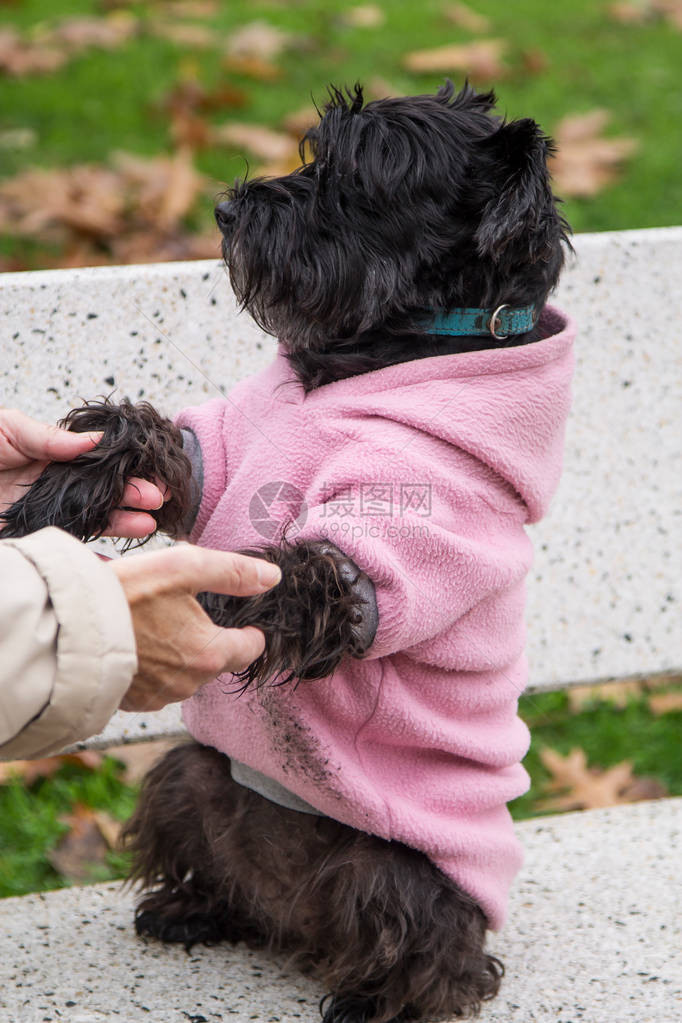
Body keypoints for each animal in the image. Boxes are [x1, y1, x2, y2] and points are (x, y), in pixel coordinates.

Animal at [2, 81, 572, 1023]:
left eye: (358, 176)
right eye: (315, 150)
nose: (227, 208)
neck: (381, 355)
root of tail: (295, 923)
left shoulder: (377, 558)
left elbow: (279, 572)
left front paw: (160, 607)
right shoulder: (216, 455)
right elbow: (149, 437)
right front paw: (51, 498)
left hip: (399, 873)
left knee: (444, 956)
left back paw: (380, 995)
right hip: (187, 776)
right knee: (220, 870)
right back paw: (195, 908)